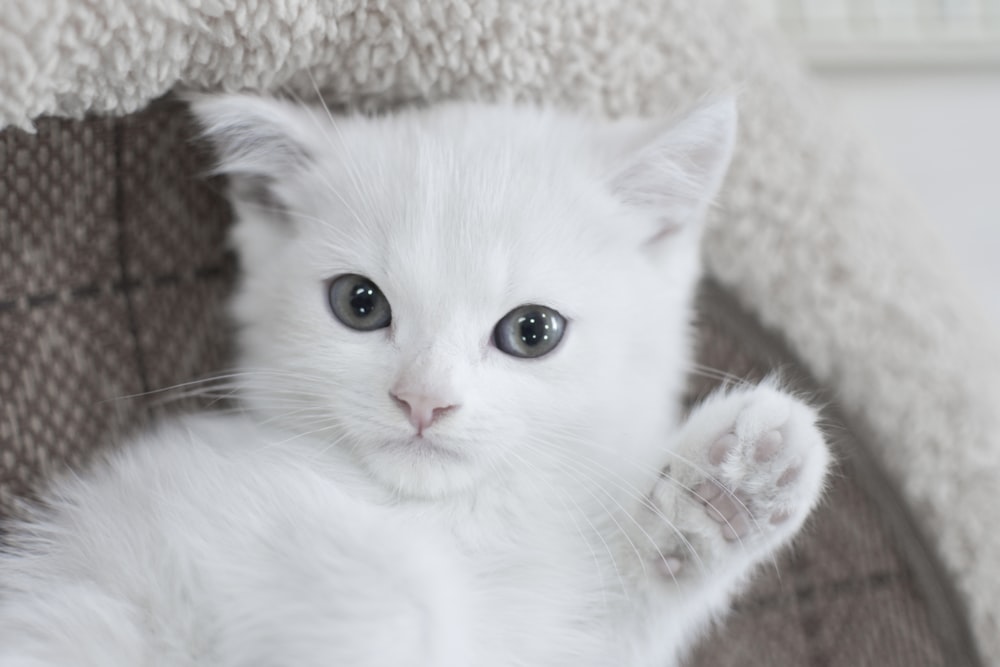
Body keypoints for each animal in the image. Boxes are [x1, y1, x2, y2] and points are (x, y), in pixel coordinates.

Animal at [0, 95, 828, 667]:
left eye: (532, 330)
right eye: (359, 303)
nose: (423, 399)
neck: (454, 519)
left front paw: (730, 487)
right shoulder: (178, 507)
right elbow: (386, 598)